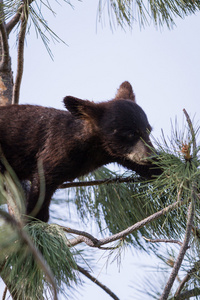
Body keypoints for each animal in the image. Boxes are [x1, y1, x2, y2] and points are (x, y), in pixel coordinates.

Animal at [0, 82, 159, 223]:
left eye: (148, 130)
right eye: (130, 133)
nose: (151, 156)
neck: (95, 149)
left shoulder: (116, 154)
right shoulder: (55, 148)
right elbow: (42, 180)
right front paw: (35, 221)